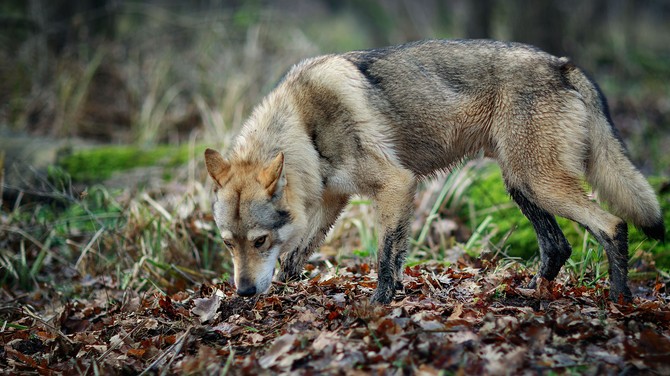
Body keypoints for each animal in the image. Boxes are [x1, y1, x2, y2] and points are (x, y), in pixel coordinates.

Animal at [205, 39, 668, 304]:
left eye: (260, 240)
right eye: (229, 243)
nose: (242, 291)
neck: (305, 125)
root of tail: (561, 64)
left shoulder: (396, 185)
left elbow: (384, 256)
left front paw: (380, 304)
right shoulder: (333, 199)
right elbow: (297, 257)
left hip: (539, 183)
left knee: (612, 225)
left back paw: (618, 298)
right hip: (521, 184)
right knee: (558, 246)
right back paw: (529, 300)